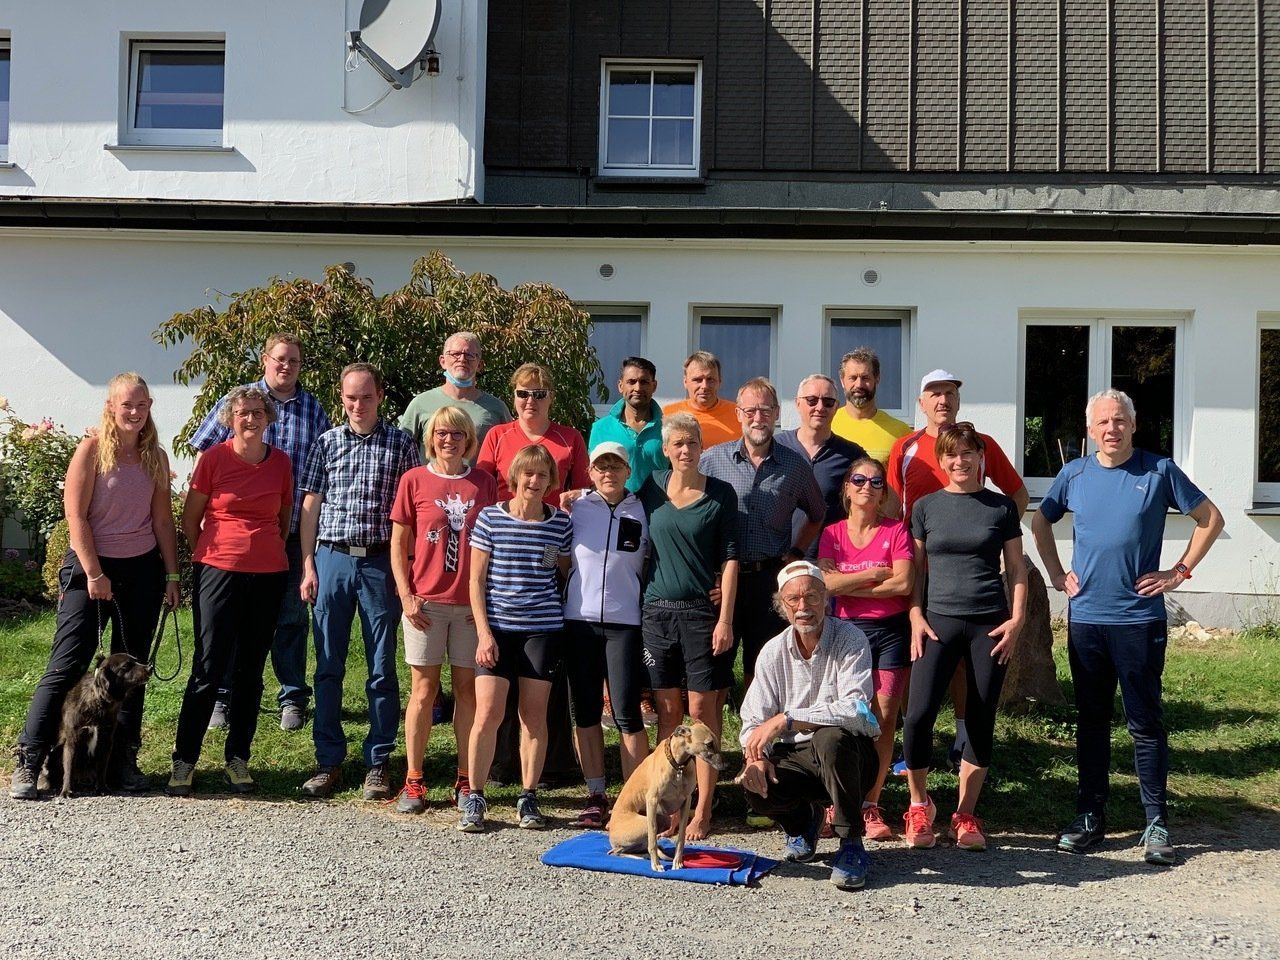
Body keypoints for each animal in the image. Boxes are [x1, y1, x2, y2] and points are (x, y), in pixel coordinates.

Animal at [43, 653, 151, 798]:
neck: (98, 702)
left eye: (136, 660)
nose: (150, 667)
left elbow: (102, 768)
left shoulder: (106, 740)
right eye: (126, 666)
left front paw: (102, 788)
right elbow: (69, 768)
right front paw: (66, 791)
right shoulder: (72, 740)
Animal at [607, 721, 725, 871]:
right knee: (615, 852)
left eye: (716, 742)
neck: (678, 766)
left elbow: (681, 837)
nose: (725, 765)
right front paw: (656, 864)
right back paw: (642, 857)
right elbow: (652, 840)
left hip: (664, 821)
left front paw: (677, 861)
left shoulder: (686, 802)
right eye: (709, 744)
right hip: (644, 824)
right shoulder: (652, 800)